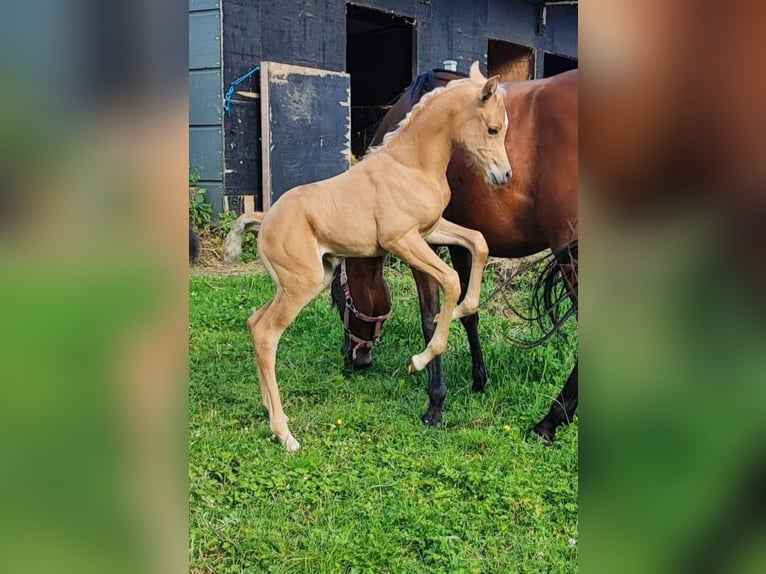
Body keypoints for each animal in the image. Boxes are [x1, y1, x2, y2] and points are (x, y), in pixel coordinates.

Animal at [246, 62, 510, 450]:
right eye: (493, 128)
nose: (504, 176)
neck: (411, 164)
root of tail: (264, 222)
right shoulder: (402, 241)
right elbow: (449, 281)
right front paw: (420, 359)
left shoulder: (429, 230)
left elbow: (479, 243)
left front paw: (464, 308)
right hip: (301, 285)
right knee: (266, 334)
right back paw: (284, 434)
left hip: (301, 282)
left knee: (254, 323)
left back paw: (269, 413)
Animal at [332, 70, 580, 444]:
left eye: (337, 299)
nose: (354, 357)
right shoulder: (461, 244)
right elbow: (469, 312)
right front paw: (479, 380)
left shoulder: (422, 244)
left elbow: (430, 316)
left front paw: (435, 401)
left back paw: (549, 421)